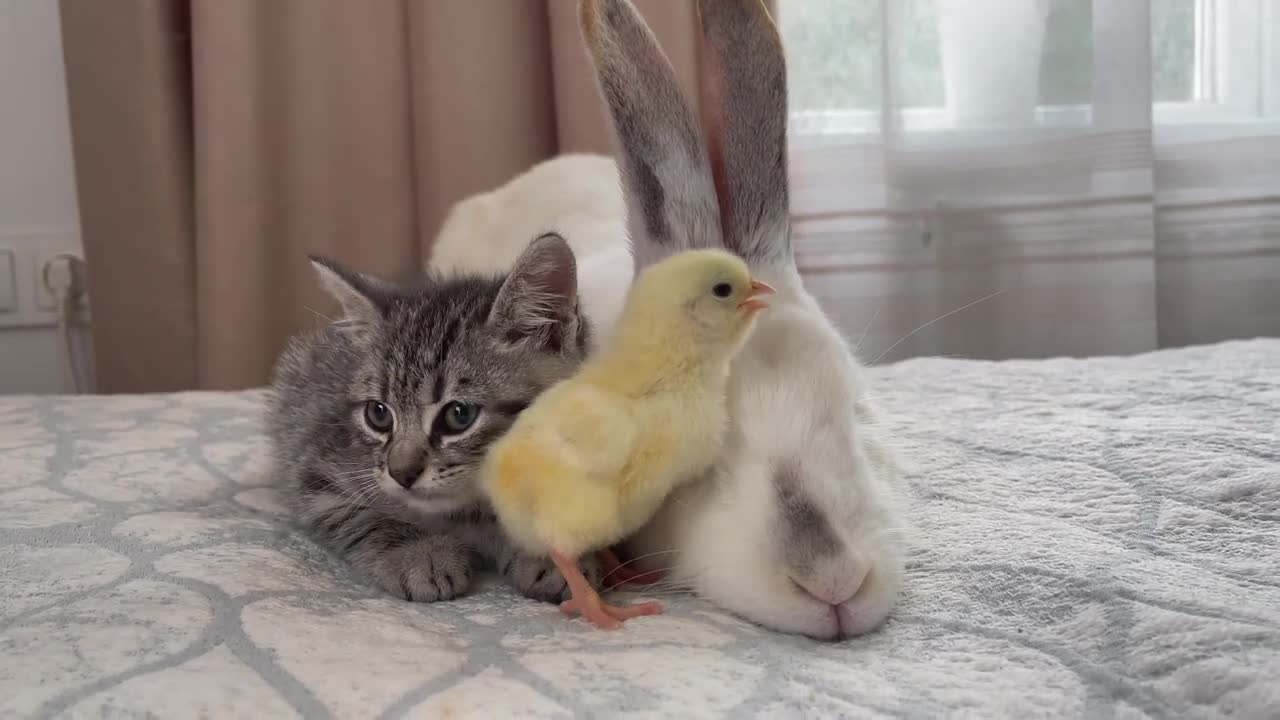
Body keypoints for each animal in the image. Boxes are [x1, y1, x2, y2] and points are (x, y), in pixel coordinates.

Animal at [266, 234, 604, 599]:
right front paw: (419, 555)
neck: (471, 512)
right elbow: (364, 519)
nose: (401, 473)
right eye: (378, 414)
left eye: (459, 414)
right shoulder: (314, 469)